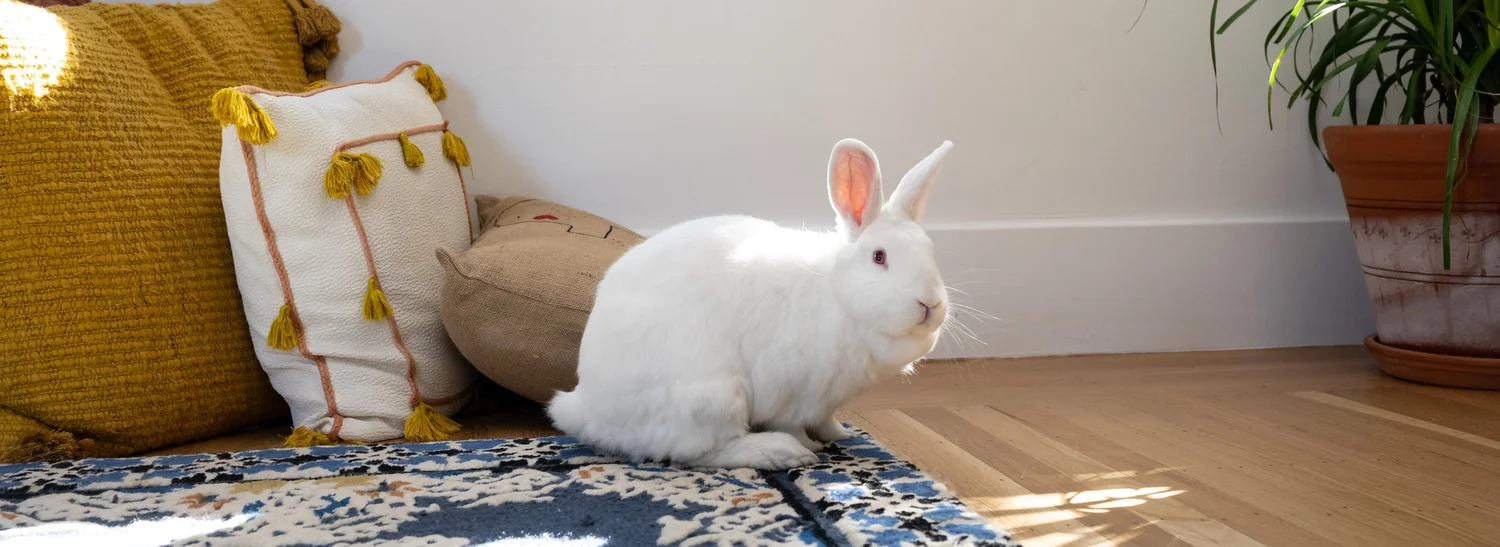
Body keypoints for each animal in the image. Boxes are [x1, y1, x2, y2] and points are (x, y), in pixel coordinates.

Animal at [547, 138, 954, 470]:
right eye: (879, 256)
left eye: (931, 250)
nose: (929, 303)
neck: (839, 295)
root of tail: (583, 407)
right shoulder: (793, 395)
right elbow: (795, 423)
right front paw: (811, 447)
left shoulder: (824, 402)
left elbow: (825, 420)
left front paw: (840, 434)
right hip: (711, 398)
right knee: (700, 453)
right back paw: (780, 453)